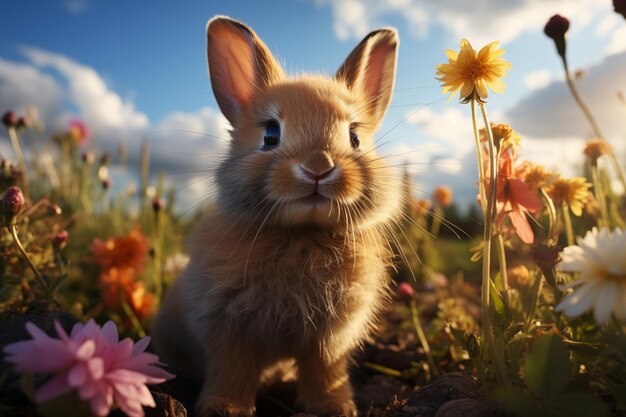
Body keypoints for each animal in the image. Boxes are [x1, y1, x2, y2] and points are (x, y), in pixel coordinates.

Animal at [154, 14, 402, 416]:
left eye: (354, 137)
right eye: (271, 134)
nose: (318, 167)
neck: (302, 232)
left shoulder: (329, 339)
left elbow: (324, 371)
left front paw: (335, 408)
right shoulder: (229, 326)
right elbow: (233, 369)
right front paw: (226, 408)